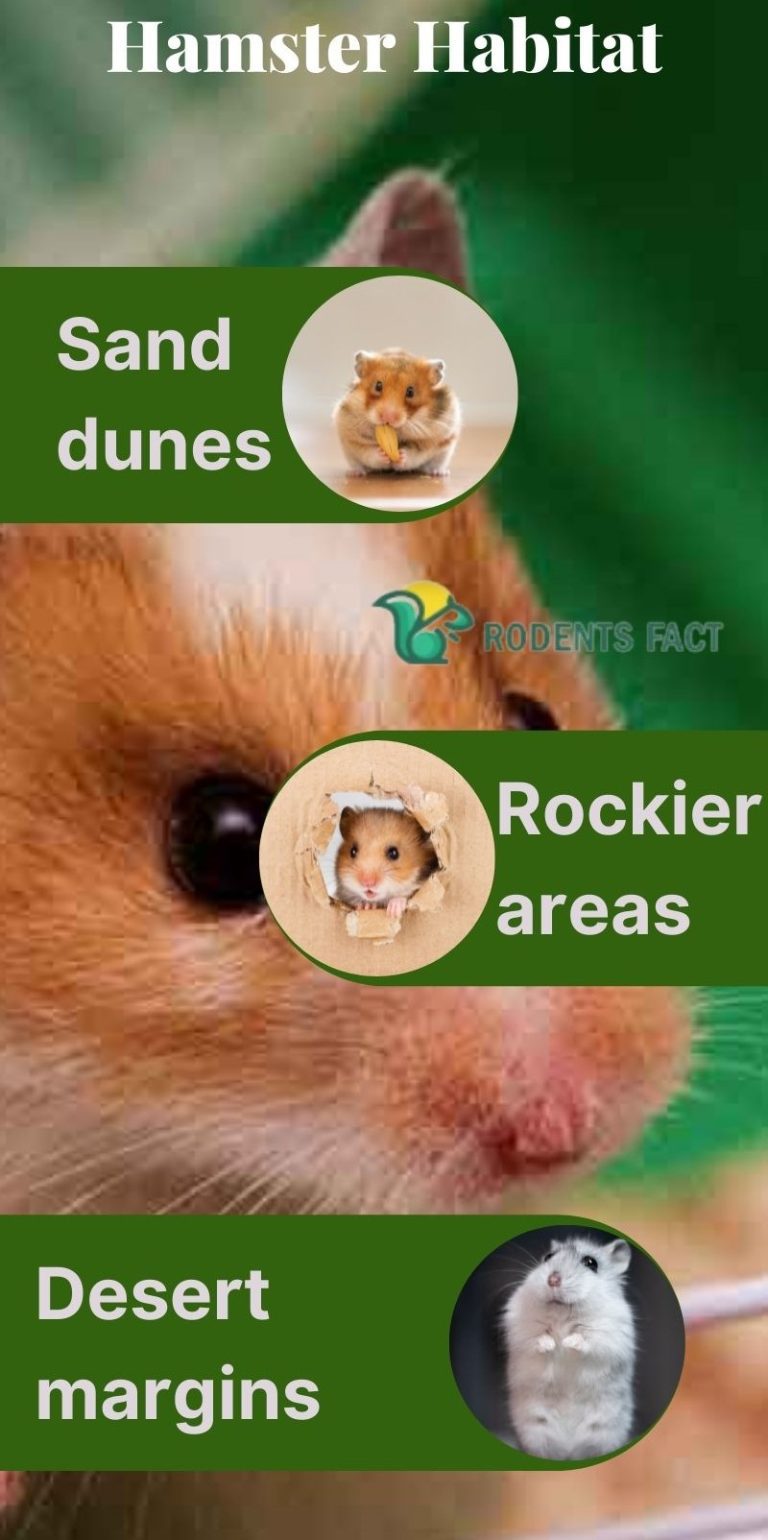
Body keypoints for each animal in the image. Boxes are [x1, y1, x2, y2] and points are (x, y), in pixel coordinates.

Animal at [503, 1234, 636, 1461]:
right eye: (548, 1257)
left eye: (591, 1263)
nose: (553, 1279)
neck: (562, 1312)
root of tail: (569, 1453)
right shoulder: (521, 1326)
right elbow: (536, 1338)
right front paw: (551, 1344)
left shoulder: (609, 1335)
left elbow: (586, 1339)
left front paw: (566, 1342)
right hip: (536, 1433)